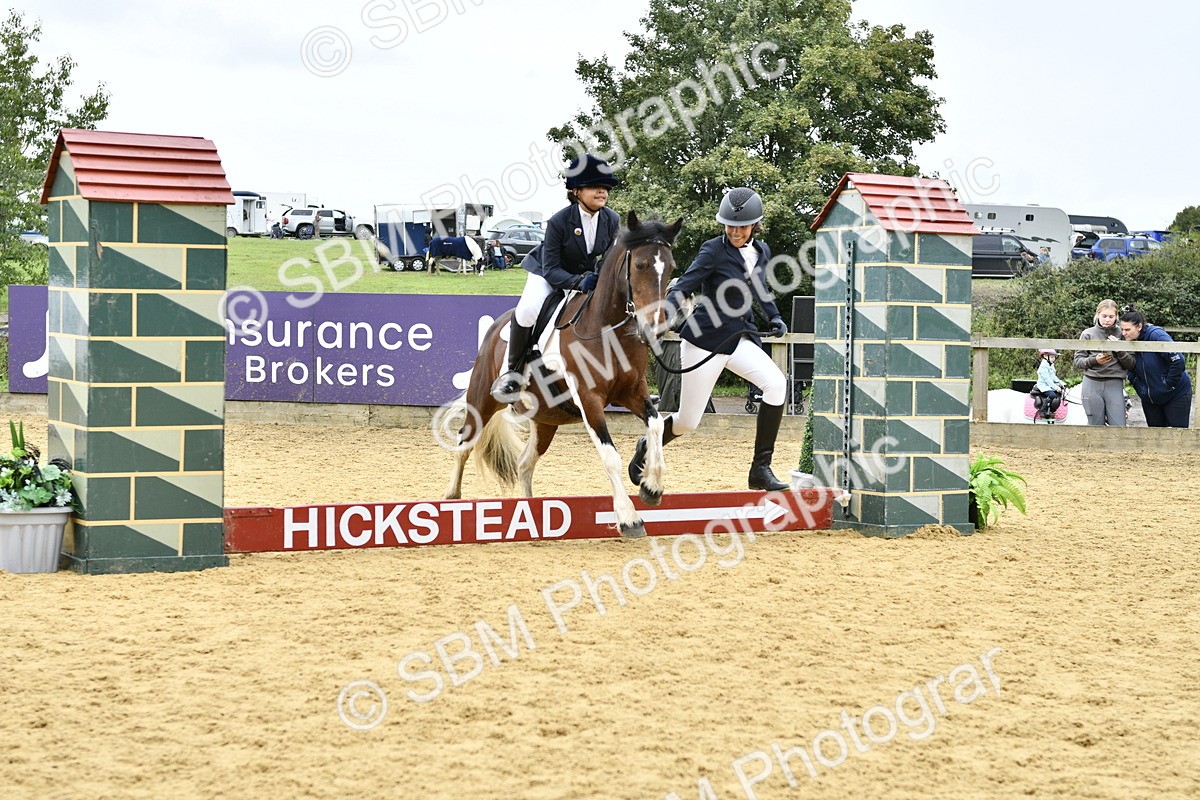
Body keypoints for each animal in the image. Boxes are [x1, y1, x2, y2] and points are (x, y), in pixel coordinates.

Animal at [442, 211, 684, 538]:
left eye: (671, 268)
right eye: (640, 265)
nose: (656, 327)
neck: (606, 328)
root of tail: (495, 327)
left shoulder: (633, 391)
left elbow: (657, 425)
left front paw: (652, 486)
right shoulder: (589, 398)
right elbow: (610, 456)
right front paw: (629, 518)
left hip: (546, 418)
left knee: (524, 463)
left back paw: (529, 517)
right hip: (482, 398)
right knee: (464, 443)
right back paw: (451, 497)